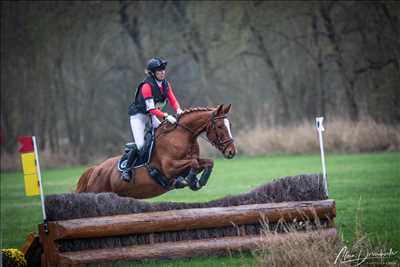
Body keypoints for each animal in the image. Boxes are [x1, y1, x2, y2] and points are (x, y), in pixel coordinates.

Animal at [76, 104, 236, 199]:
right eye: (220, 126)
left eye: (230, 124)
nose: (231, 152)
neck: (183, 135)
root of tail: (95, 169)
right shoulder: (170, 167)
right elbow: (194, 163)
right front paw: (188, 180)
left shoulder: (191, 161)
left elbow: (208, 162)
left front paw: (197, 182)